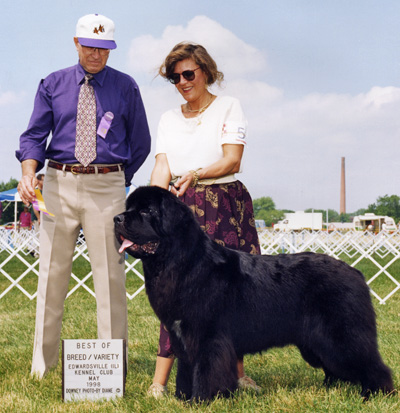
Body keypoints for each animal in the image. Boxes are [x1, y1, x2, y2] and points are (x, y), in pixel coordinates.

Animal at [113, 185, 394, 400]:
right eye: (129, 208)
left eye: (146, 211)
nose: (117, 218)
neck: (180, 262)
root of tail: (356, 272)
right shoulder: (182, 335)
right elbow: (186, 369)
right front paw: (183, 398)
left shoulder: (208, 336)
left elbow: (205, 370)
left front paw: (202, 399)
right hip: (316, 341)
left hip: (341, 335)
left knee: (371, 363)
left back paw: (376, 394)